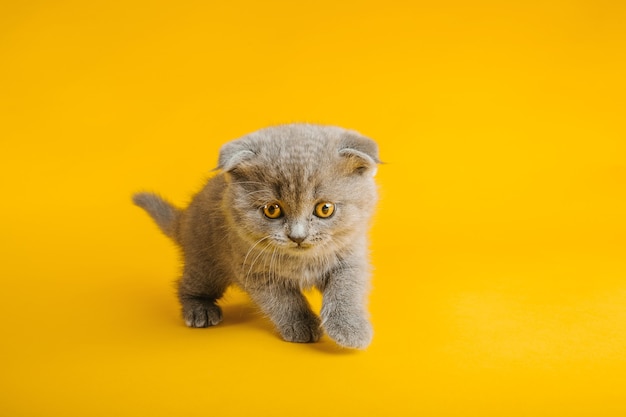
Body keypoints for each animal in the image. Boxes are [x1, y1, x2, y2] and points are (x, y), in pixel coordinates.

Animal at [133, 123, 378, 348]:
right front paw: (302, 325)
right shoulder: (254, 269)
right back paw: (199, 309)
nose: (297, 236)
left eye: (325, 209)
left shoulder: (350, 253)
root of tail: (184, 218)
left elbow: (347, 288)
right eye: (272, 209)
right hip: (204, 260)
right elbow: (284, 300)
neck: (301, 261)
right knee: (189, 283)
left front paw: (350, 327)